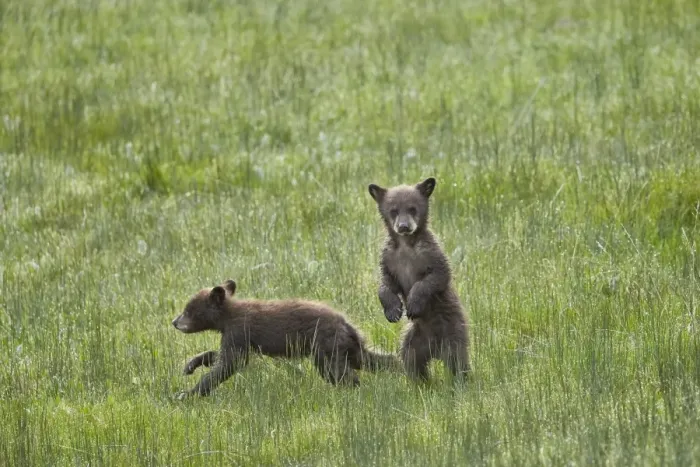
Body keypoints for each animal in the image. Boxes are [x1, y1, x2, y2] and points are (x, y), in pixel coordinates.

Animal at [171, 279, 398, 398]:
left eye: (188, 310)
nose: (174, 321)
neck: (227, 317)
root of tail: (346, 323)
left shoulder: (239, 330)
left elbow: (230, 362)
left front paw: (188, 393)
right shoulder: (238, 337)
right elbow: (222, 355)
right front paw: (191, 364)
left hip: (325, 344)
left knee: (336, 372)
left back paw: (351, 389)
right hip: (347, 346)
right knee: (369, 360)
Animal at [367, 177, 471, 382]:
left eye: (412, 208)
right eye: (394, 210)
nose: (404, 227)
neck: (406, 246)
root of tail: (435, 350)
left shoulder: (430, 254)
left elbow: (436, 277)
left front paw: (413, 305)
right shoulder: (389, 259)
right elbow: (385, 284)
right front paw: (393, 311)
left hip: (453, 332)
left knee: (457, 360)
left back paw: (462, 381)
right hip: (414, 339)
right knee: (411, 359)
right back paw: (420, 381)